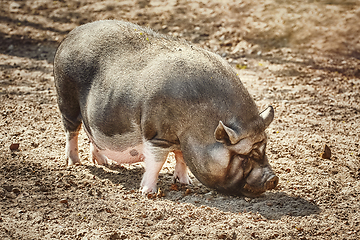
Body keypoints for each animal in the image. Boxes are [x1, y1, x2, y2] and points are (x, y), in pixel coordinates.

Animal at [54, 20, 278, 197]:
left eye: (264, 148)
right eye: (244, 156)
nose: (273, 179)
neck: (197, 127)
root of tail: (70, 36)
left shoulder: (180, 141)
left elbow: (181, 159)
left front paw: (185, 182)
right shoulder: (157, 135)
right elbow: (156, 163)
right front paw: (148, 193)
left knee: (90, 133)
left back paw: (104, 163)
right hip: (66, 98)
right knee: (71, 130)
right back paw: (74, 164)